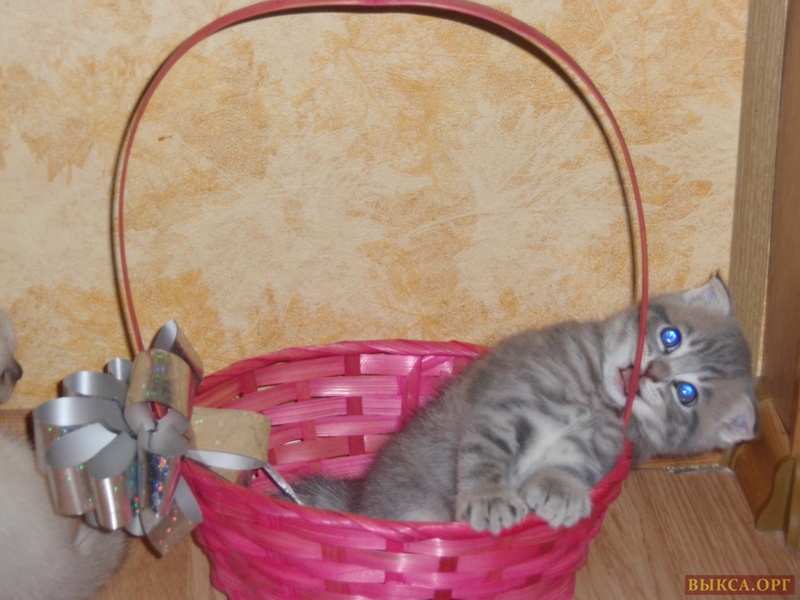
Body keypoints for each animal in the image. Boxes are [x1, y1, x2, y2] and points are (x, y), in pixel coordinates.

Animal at [288, 276, 758, 533]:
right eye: (671, 337)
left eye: (686, 393)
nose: (654, 372)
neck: (593, 399)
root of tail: (358, 502)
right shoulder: (504, 404)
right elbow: (486, 454)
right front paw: (490, 499)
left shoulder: (601, 446)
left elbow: (571, 466)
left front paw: (561, 491)